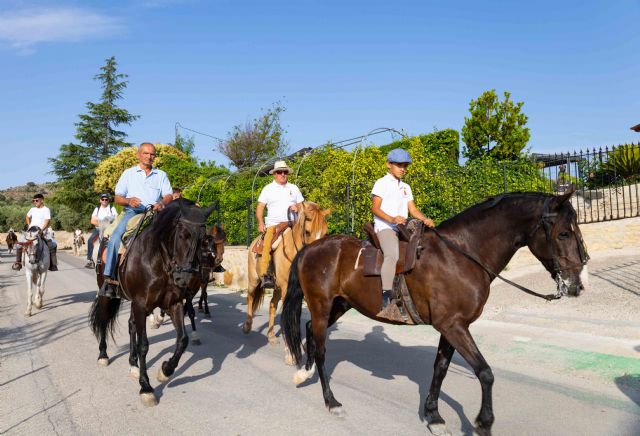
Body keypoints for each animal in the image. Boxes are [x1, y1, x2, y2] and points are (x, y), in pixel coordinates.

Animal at [89, 198, 217, 406]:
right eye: (182, 235)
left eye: (203, 238)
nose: (184, 278)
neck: (159, 260)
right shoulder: (141, 305)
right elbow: (144, 345)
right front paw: (146, 387)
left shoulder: (173, 304)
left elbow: (182, 339)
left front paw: (165, 370)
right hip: (106, 294)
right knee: (103, 319)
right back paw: (103, 355)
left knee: (131, 325)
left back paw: (133, 364)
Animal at [243, 201, 330, 356]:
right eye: (307, 231)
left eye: (325, 233)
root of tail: (255, 242)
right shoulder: (286, 289)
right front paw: (290, 350)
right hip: (254, 280)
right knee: (250, 297)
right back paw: (247, 326)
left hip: (276, 287)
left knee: (272, 305)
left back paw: (271, 336)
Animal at [282, 188, 589, 435]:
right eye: (564, 233)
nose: (576, 285)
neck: (461, 255)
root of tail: (311, 248)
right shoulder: (453, 325)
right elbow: (485, 372)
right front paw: (483, 422)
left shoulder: (453, 326)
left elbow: (440, 368)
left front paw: (433, 416)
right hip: (321, 305)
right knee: (322, 348)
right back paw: (331, 401)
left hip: (340, 304)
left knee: (311, 333)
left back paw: (304, 373)